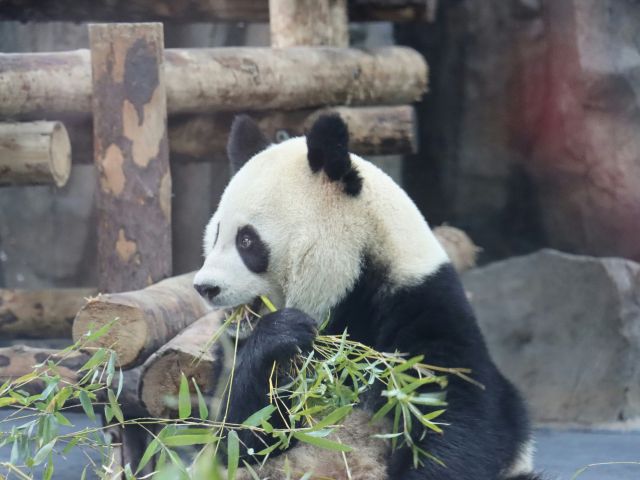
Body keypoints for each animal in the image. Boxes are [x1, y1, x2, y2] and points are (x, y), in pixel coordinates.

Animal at [193, 114, 542, 480]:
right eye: (215, 234)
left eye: (247, 241)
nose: (205, 287)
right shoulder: (234, 355)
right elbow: (233, 436)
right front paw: (280, 336)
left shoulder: (420, 306)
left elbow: (454, 414)